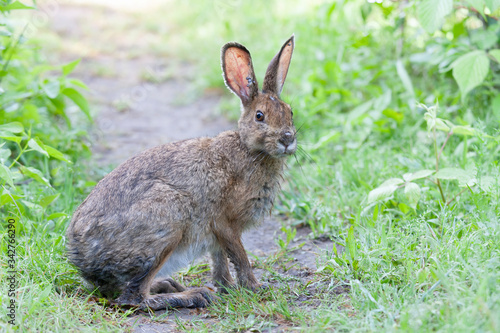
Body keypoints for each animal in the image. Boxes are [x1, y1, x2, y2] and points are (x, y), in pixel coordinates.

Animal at [64, 35, 294, 310]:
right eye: (260, 116)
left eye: (290, 112)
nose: (288, 139)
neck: (249, 150)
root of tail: (80, 254)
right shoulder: (225, 223)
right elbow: (239, 256)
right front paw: (255, 287)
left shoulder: (216, 235)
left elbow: (220, 260)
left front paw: (227, 287)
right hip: (167, 222)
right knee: (133, 298)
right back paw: (192, 295)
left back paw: (170, 285)